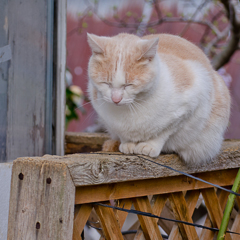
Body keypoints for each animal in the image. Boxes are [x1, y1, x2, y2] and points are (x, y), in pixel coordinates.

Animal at [86, 32, 231, 164]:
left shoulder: (188, 106)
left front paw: (149, 145)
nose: (116, 99)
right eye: (106, 84)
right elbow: (123, 134)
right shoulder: (110, 121)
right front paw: (128, 143)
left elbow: (163, 132)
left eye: (129, 85)